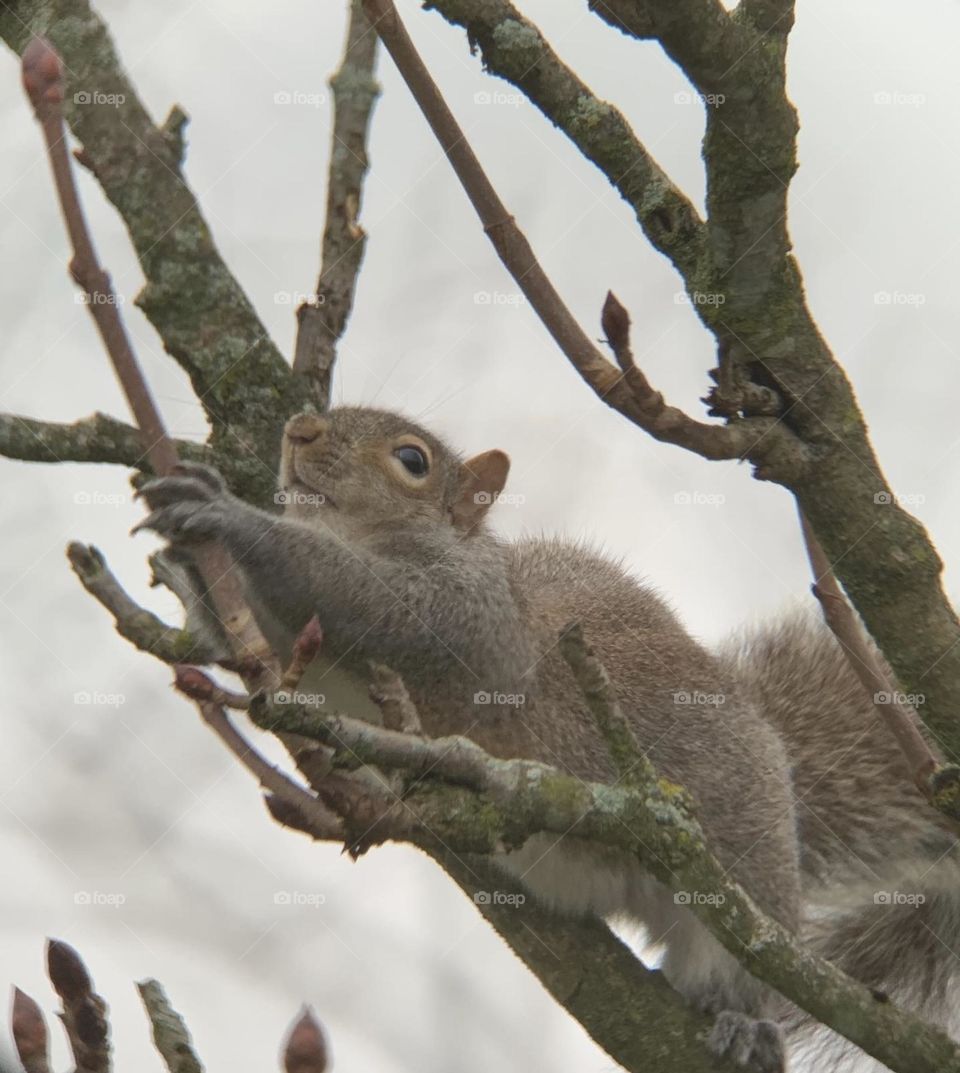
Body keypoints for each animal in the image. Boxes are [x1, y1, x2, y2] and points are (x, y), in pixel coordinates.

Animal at [135, 403, 960, 1073]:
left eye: (411, 460)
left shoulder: (470, 617)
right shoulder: (293, 654)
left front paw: (229, 515)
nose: (299, 431)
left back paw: (742, 1022)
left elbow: (374, 602)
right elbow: (254, 644)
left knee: (735, 963)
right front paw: (186, 555)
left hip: (742, 869)